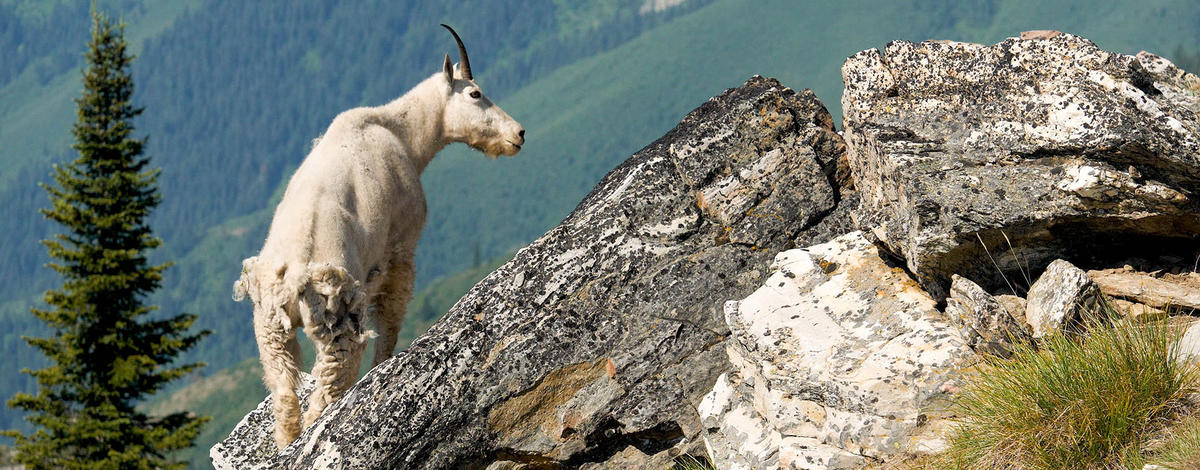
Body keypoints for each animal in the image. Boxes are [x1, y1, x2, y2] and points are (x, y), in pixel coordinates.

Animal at [231, 24, 523, 448]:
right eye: (475, 93)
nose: (518, 133)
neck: (400, 132)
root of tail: (294, 278)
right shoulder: (400, 246)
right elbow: (391, 316)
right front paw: (384, 365)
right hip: (337, 320)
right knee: (327, 390)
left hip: (269, 328)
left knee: (285, 395)